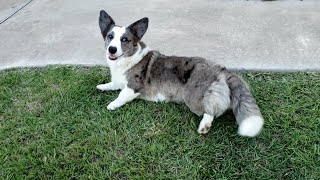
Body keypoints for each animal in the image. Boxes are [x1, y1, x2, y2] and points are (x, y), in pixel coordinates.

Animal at [96, 10, 264, 136]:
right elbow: (112, 85)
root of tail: (221, 70)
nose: (112, 49)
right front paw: (101, 86)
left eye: (125, 39)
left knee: (211, 110)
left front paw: (112, 104)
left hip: (192, 97)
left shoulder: (133, 87)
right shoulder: (118, 81)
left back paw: (204, 126)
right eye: (110, 37)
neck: (127, 59)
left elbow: (121, 95)